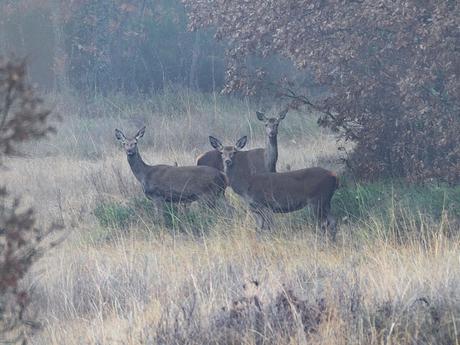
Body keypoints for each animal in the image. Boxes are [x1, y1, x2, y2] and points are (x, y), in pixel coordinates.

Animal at [208, 134, 338, 236]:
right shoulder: (255, 210)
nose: (227, 161)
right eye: (221, 152)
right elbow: (259, 229)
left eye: (234, 152)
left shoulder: (265, 205)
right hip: (326, 202)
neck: (245, 187)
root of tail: (334, 176)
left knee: (325, 224)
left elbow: (269, 228)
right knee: (333, 221)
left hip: (318, 200)